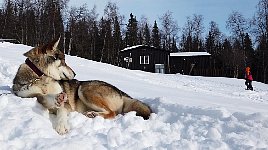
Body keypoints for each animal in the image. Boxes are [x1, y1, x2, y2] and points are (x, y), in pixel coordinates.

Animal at [12, 37, 153, 135]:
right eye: (63, 61)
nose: (75, 73)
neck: (42, 78)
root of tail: (121, 93)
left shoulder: (66, 105)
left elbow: (62, 110)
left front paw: (61, 125)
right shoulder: (31, 96)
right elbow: (44, 97)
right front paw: (56, 99)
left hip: (84, 89)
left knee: (112, 113)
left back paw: (93, 114)